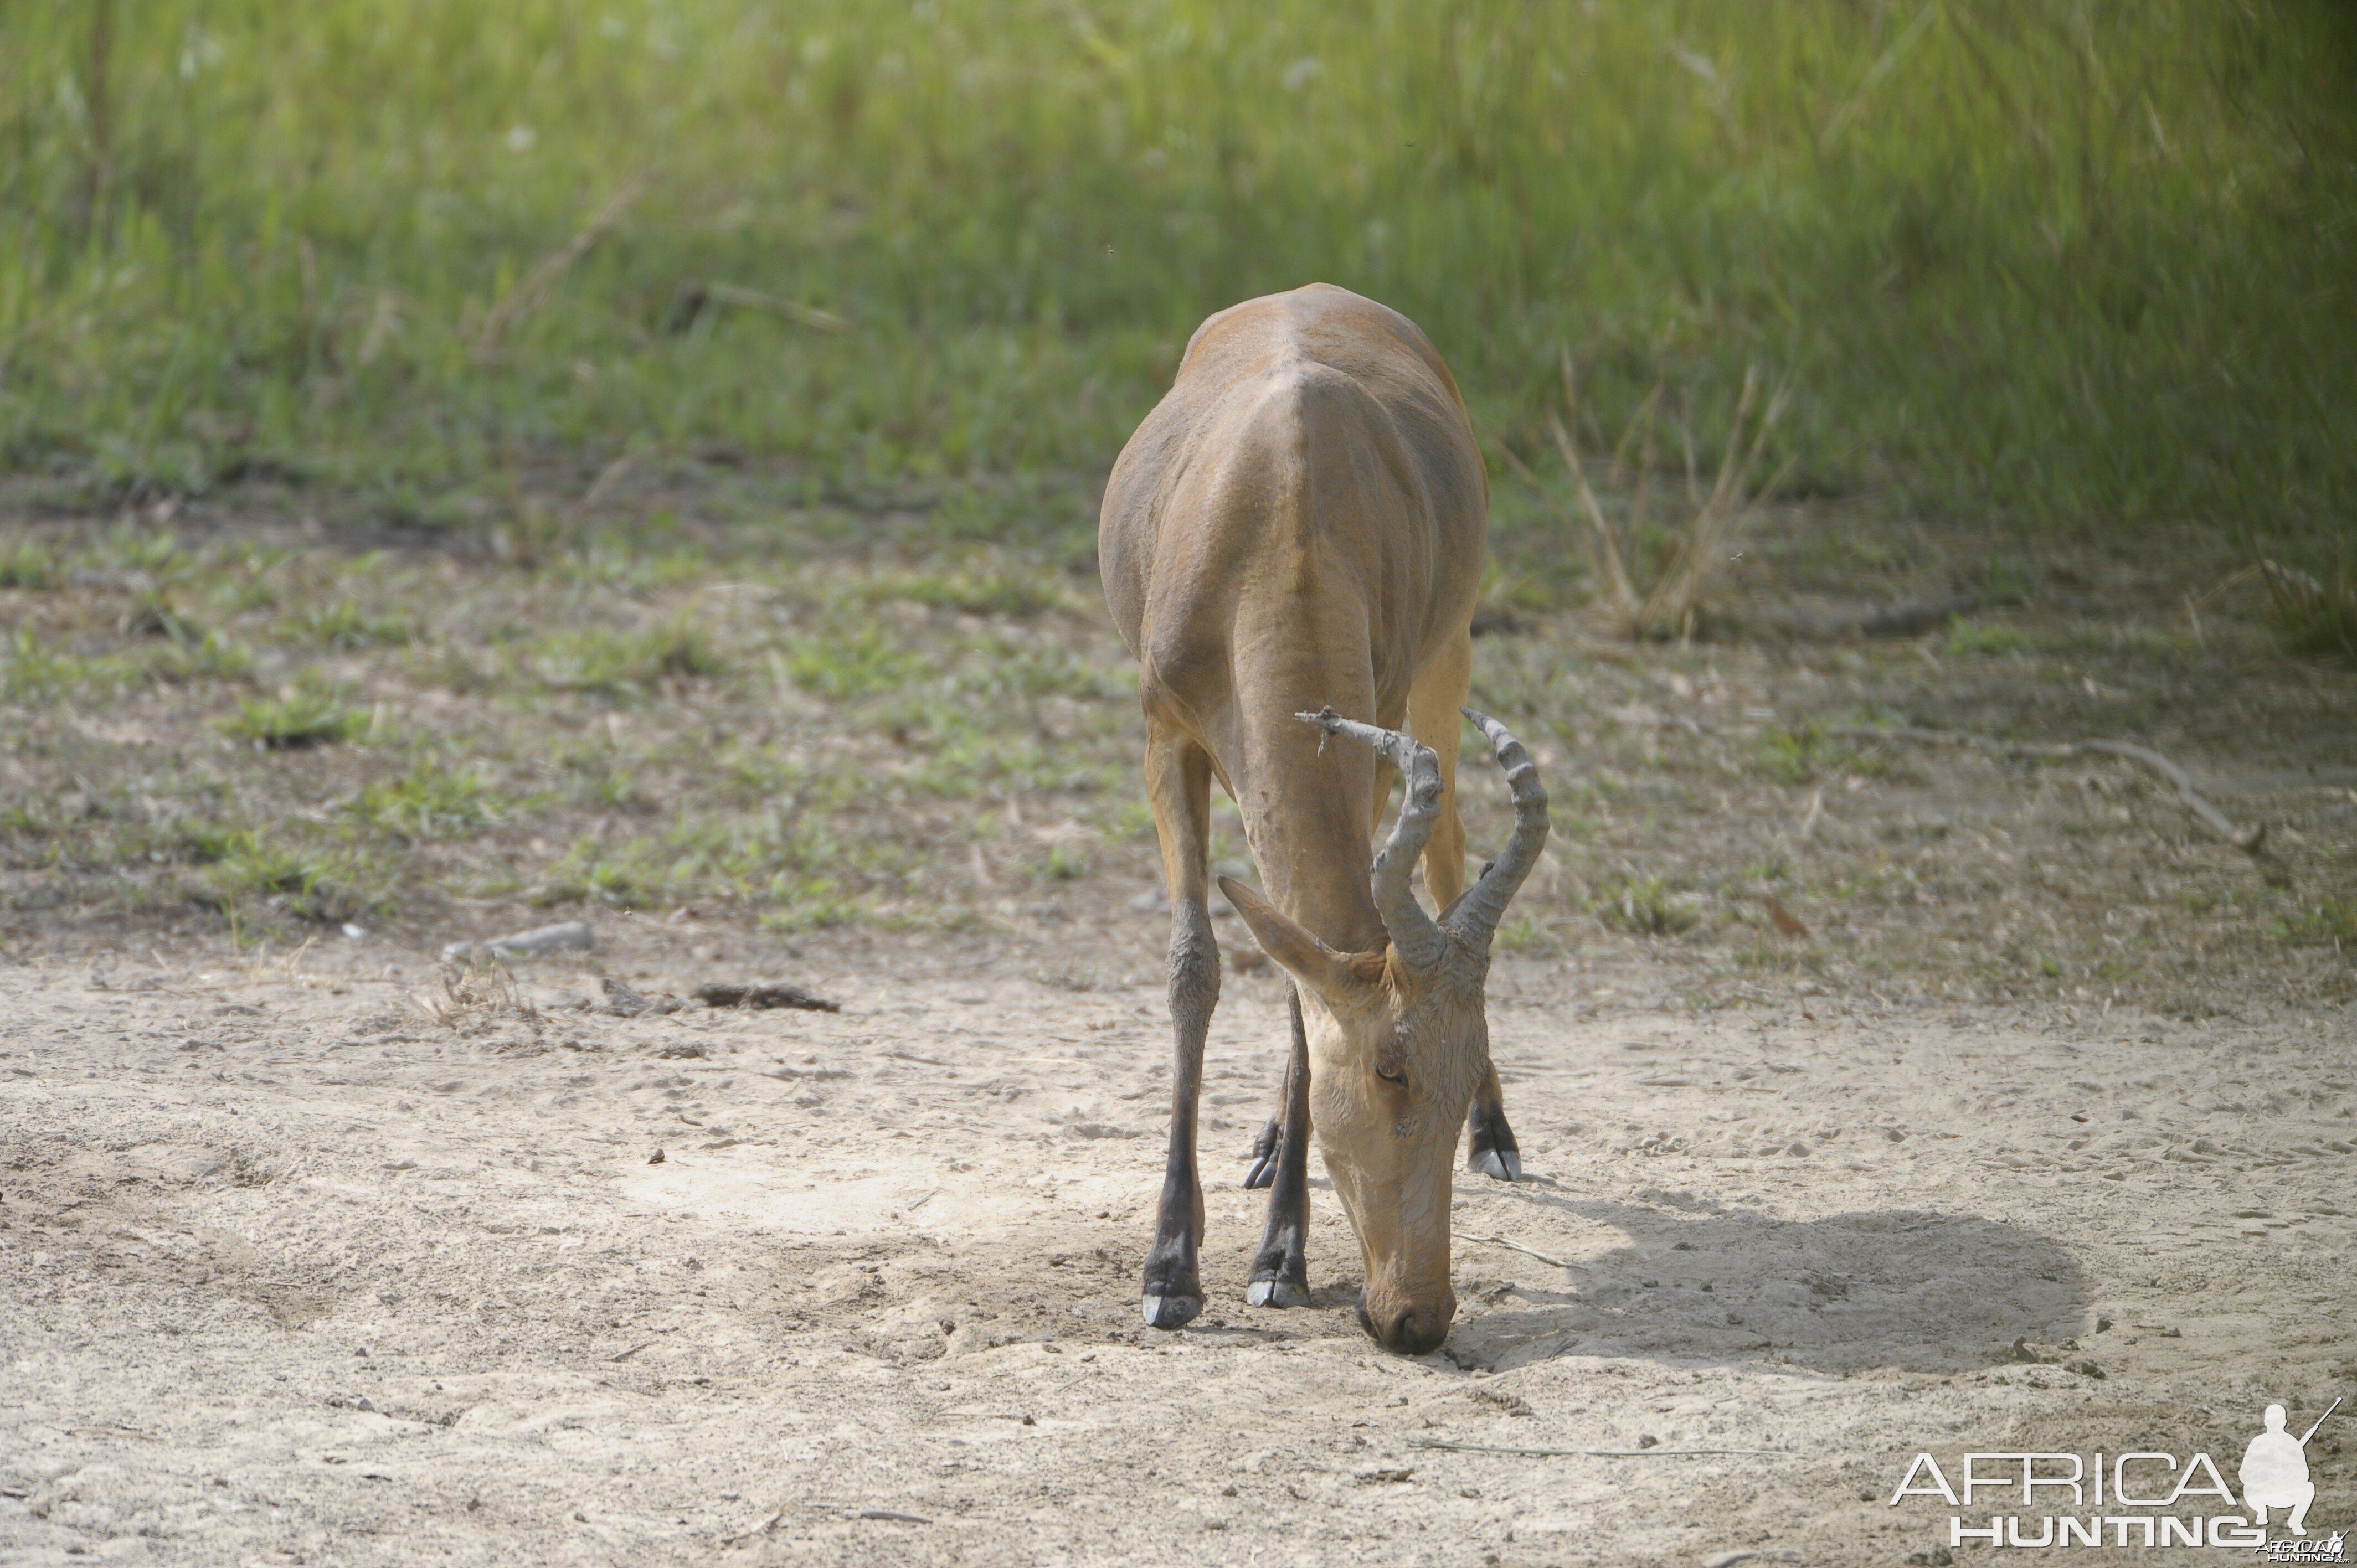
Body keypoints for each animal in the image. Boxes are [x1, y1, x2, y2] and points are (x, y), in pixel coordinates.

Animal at [1098, 284, 1546, 1358]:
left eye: (1459, 1068)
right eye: (1390, 1069)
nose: (1416, 1317)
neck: (1278, 505)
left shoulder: (1372, 743)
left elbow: (1308, 989)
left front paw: (1280, 1260)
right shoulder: (1165, 738)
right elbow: (1200, 964)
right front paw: (1171, 1269)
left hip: (1447, 662)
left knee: (1448, 858)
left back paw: (1499, 1141)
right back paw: (1266, 1146)